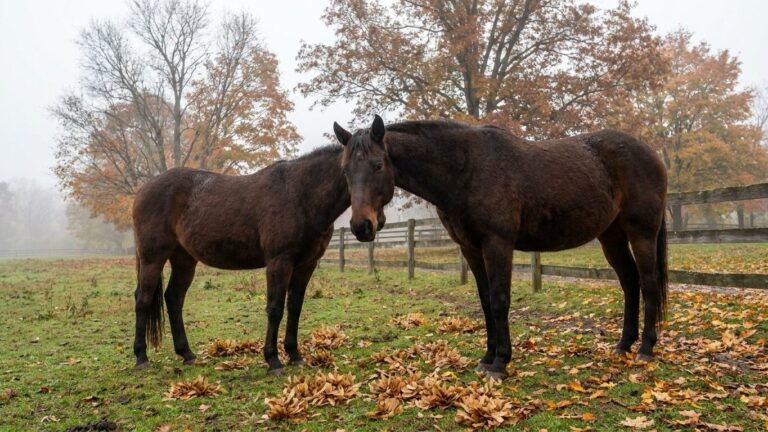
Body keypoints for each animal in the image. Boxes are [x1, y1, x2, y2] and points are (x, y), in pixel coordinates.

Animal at [131, 145, 351, 374]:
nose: (363, 225)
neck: (300, 194)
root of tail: (143, 190)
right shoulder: (279, 262)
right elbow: (275, 308)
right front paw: (273, 360)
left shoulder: (306, 265)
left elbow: (295, 307)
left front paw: (295, 355)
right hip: (152, 258)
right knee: (143, 299)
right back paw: (141, 357)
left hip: (184, 260)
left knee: (174, 298)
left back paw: (187, 354)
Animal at [334, 115, 668, 380]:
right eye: (345, 171)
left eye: (378, 165)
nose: (361, 227)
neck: (466, 168)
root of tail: (651, 154)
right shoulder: (471, 249)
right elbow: (485, 302)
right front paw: (486, 358)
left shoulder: (498, 244)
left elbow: (499, 301)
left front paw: (500, 364)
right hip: (611, 236)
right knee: (630, 282)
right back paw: (623, 345)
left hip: (642, 233)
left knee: (648, 283)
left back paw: (645, 349)